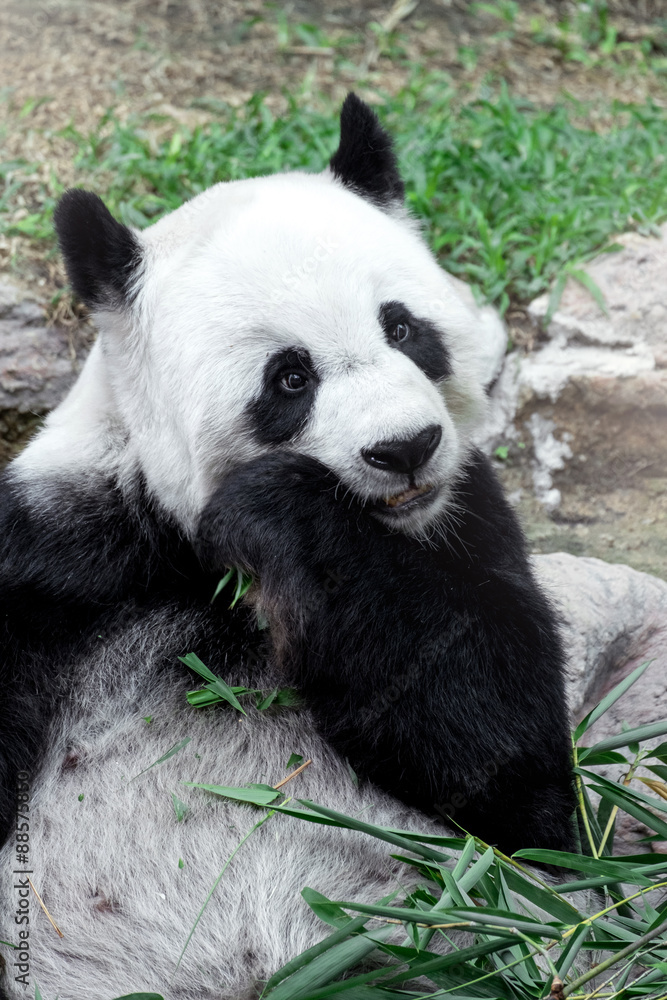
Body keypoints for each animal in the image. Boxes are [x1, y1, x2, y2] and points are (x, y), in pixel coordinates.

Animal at [0, 95, 576, 1000]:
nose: (405, 447)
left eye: (403, 328)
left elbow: (512, 771)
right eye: (290, 378)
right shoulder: (63, 546)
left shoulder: (465, 519)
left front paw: (278, 508)